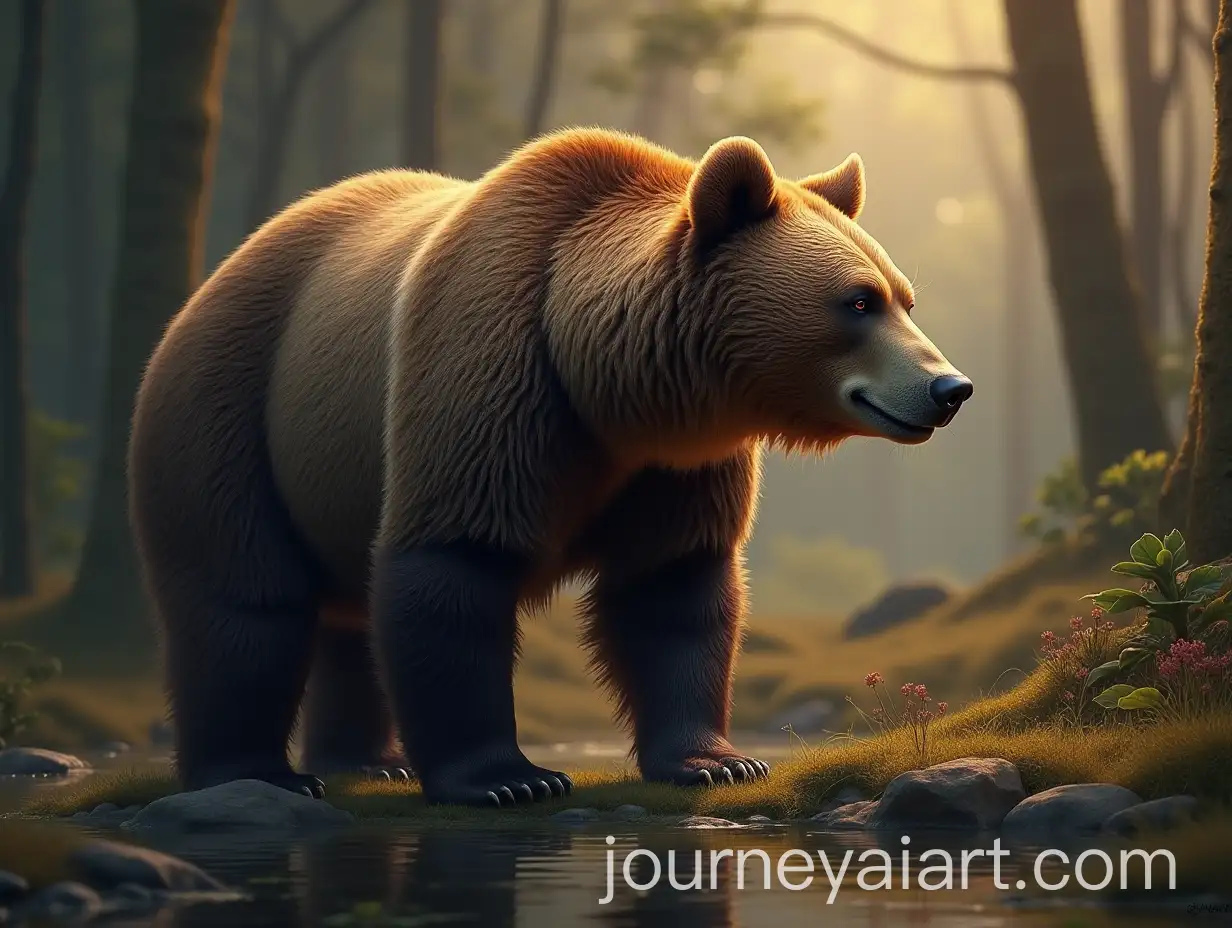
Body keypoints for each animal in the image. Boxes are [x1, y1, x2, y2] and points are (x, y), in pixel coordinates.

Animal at [128, 128, 971, 807]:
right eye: (856, 302)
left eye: (905, 298)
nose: (949, 388)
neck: (607, 386)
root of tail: (209, 283)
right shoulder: (489, 379)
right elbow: (454, 567)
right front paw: (509, 777)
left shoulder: (675, 464)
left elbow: (672, 591)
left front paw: (717, 761)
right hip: (233, 414)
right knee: (243, 602)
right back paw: (255, 771)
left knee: (347, 615)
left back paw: (367, 761)